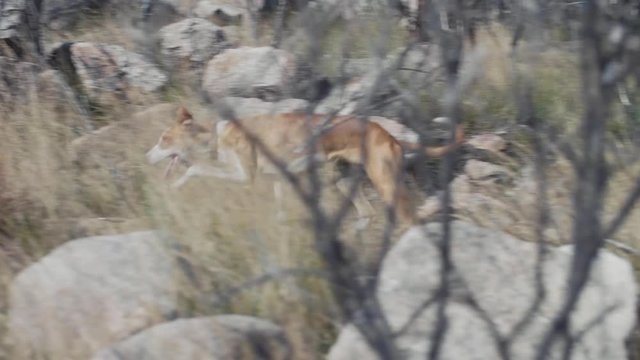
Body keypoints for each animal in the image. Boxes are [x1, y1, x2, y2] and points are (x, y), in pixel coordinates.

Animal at [147, 106, 462, 225]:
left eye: (164, 139)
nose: (146, 157)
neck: (217, 135)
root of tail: (389, 135)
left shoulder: (245, 176)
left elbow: (195, 168)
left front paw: (176, 185)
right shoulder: (279, 180)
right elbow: (279, 212)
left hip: (385, 183)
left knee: (408, 219)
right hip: (345, 181)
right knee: (366, 213)